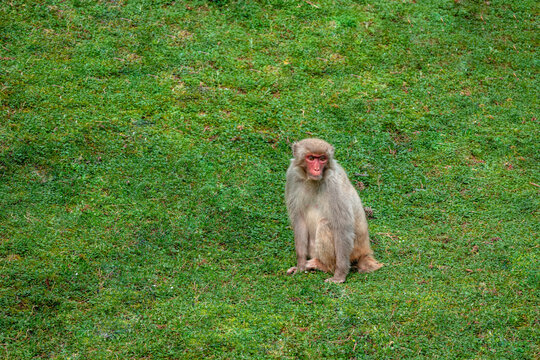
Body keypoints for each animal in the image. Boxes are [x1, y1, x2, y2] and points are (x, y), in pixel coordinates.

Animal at [284, 139, 382, 282]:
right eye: (311, 158)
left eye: (322, 159)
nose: (317, 169)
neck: (312, 181)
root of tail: (364, 252)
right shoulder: (292, 176)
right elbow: (299, 220)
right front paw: (300, 265)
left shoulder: (334, 185)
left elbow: (342, 227)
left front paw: (339, 275)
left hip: (352, 252)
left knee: (325, 224)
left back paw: (323, 266)